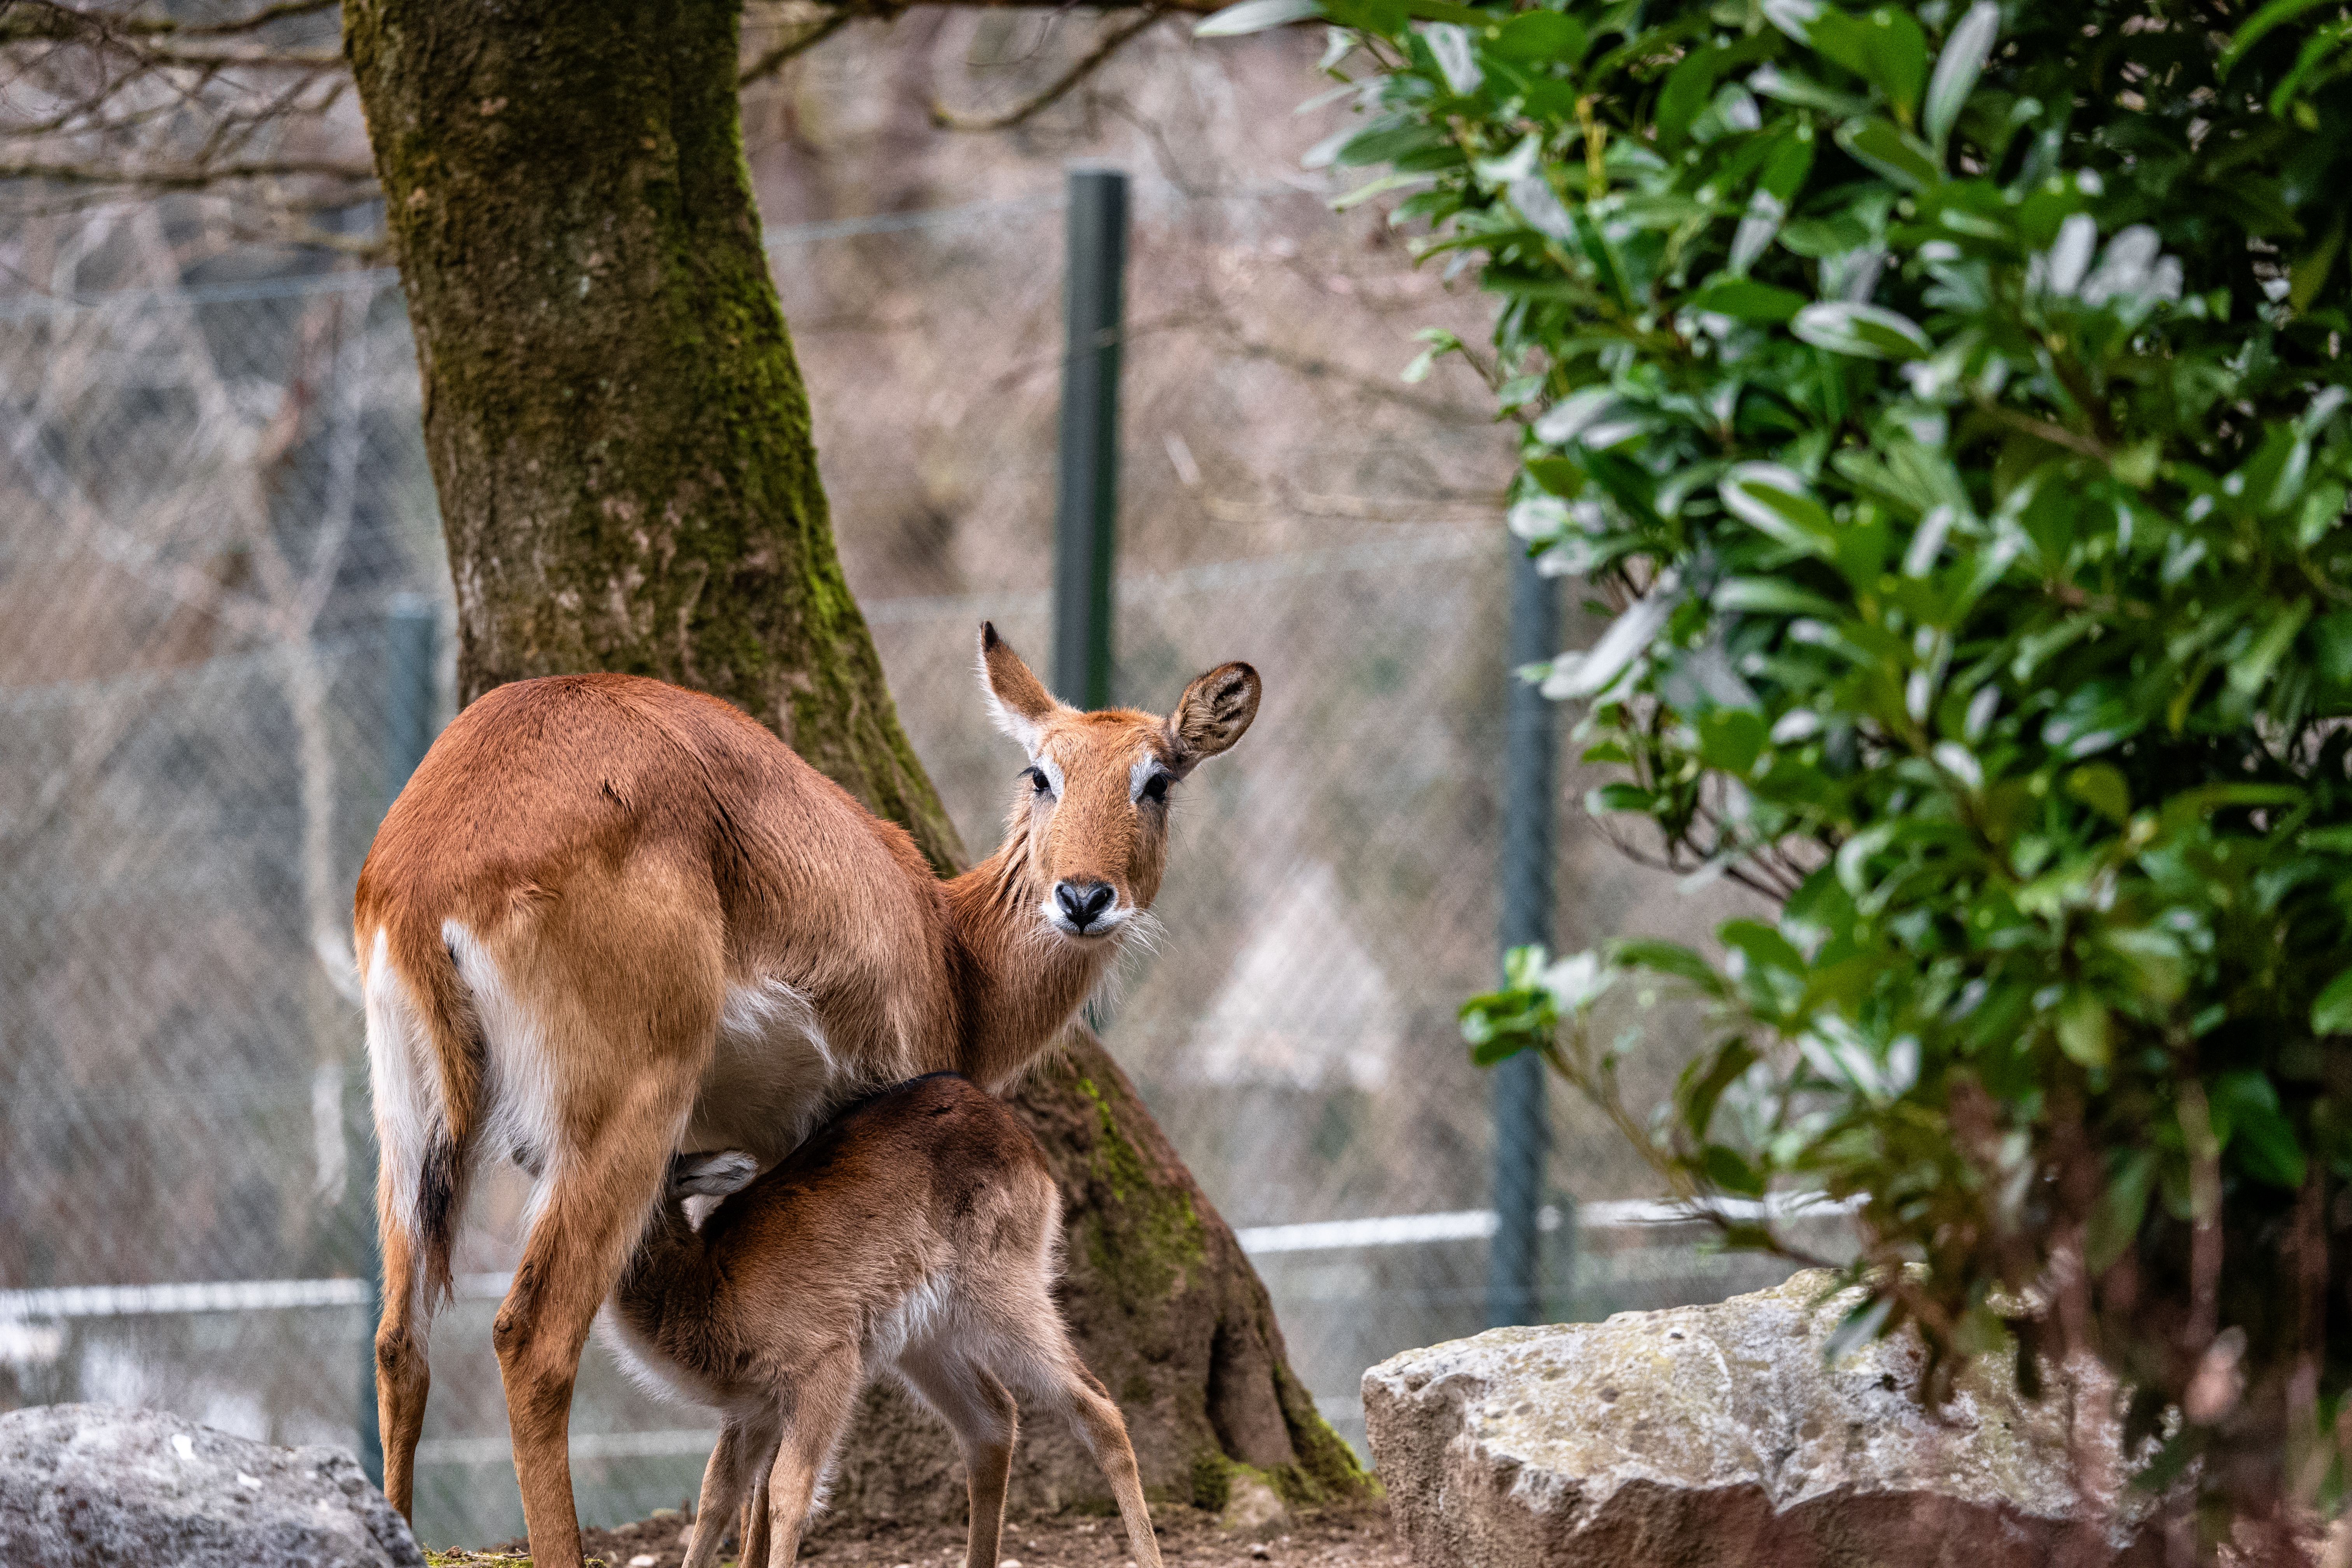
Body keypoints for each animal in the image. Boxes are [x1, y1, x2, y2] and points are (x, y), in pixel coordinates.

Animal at [605, 1073, 1166, 1568]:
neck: (707, 1287)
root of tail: (1025, 1140)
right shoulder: (754, 1408)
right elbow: (718, 1497)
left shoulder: (825, 1363)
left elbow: (788, 1490)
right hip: (924, 1340)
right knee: (992, 1417)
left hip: (1005, 1287)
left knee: (1097, 1404)